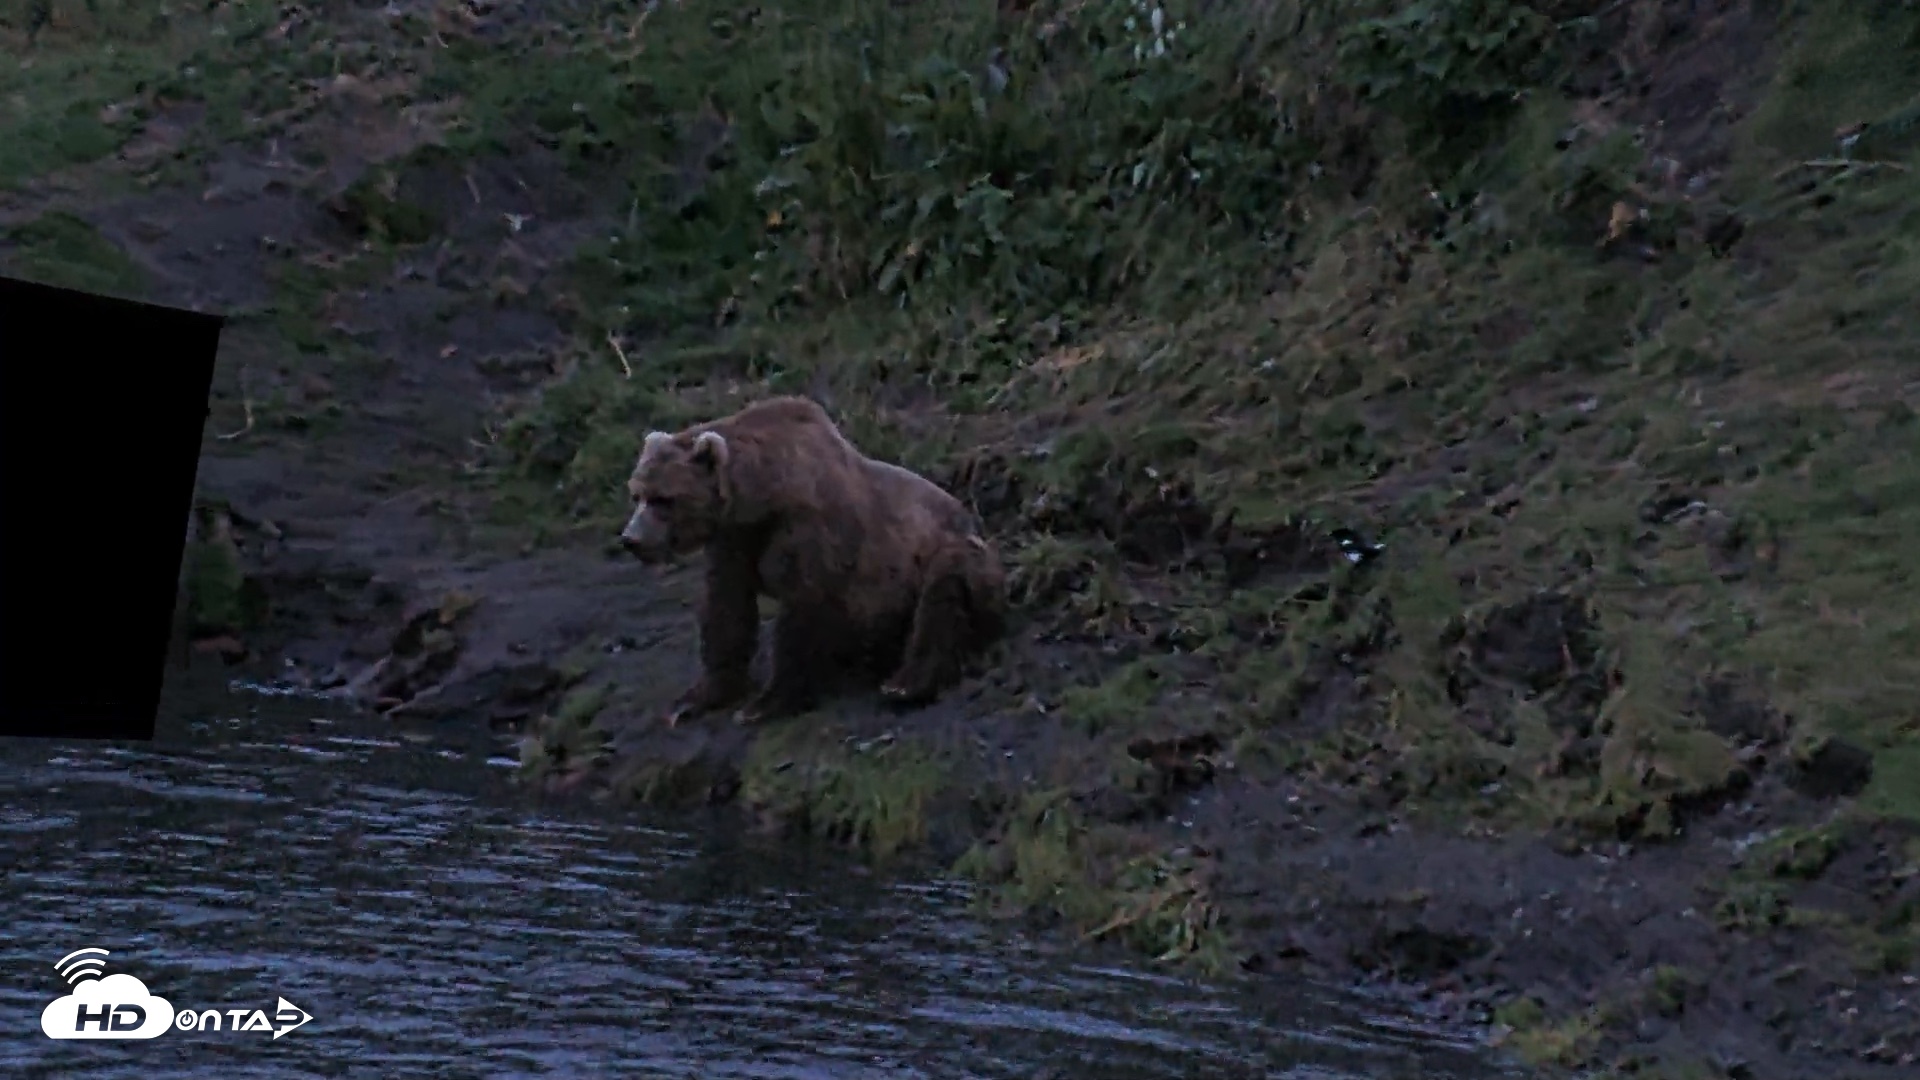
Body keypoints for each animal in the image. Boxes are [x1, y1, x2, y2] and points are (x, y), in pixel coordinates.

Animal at [618, 395, 1008, 726]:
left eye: (664, 499)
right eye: (637, 494)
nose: (631, 540)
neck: (763, 495)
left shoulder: (811, 529)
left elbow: (803, 608)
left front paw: (763, 704)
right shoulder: (734, 538)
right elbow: (725, 606)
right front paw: (695, 699)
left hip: (950, 552)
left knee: (943, 592)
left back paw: (905, 683)